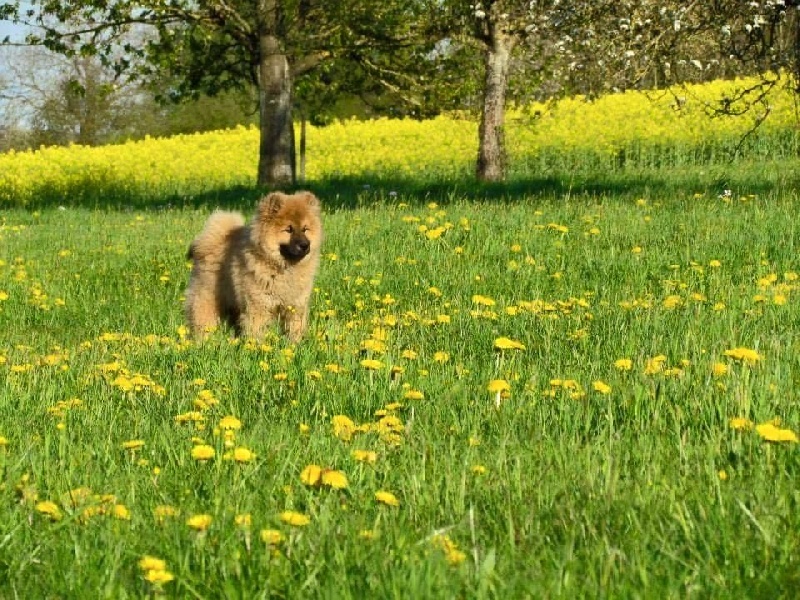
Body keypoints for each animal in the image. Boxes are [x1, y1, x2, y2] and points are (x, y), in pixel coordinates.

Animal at [186, 192, 324, 342]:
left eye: (305, 229)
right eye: (289, 230)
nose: (305, 245)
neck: (283, 268)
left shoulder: (295, 306)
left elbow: (294, 329)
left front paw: (295, 344)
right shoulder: (258, 306)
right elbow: (256, 329)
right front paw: (255, 345)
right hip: (208, 297)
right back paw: (203, 341)